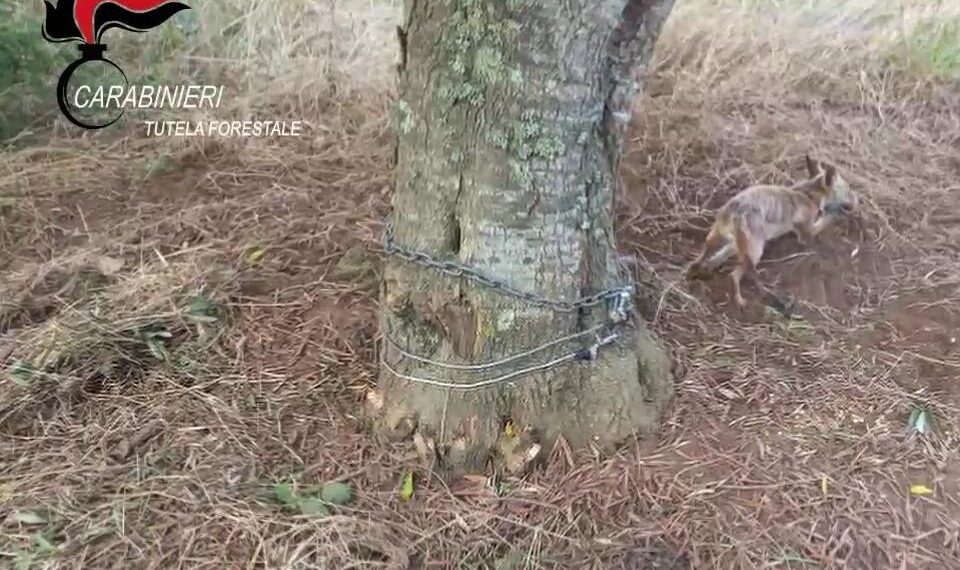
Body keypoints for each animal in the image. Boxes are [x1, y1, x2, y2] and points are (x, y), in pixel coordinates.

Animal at [686, 155, 857, 307]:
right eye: (848, 189)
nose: (856, 201)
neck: (808, 194)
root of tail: (736, 210)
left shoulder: (737, 244)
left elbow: (719, 255)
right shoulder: (806, 231)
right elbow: (824, 221)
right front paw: (836, 216)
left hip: (721, 237)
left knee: (706, 253)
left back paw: (697, 269)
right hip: (755, 251)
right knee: (734, 275)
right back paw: (742, 299)